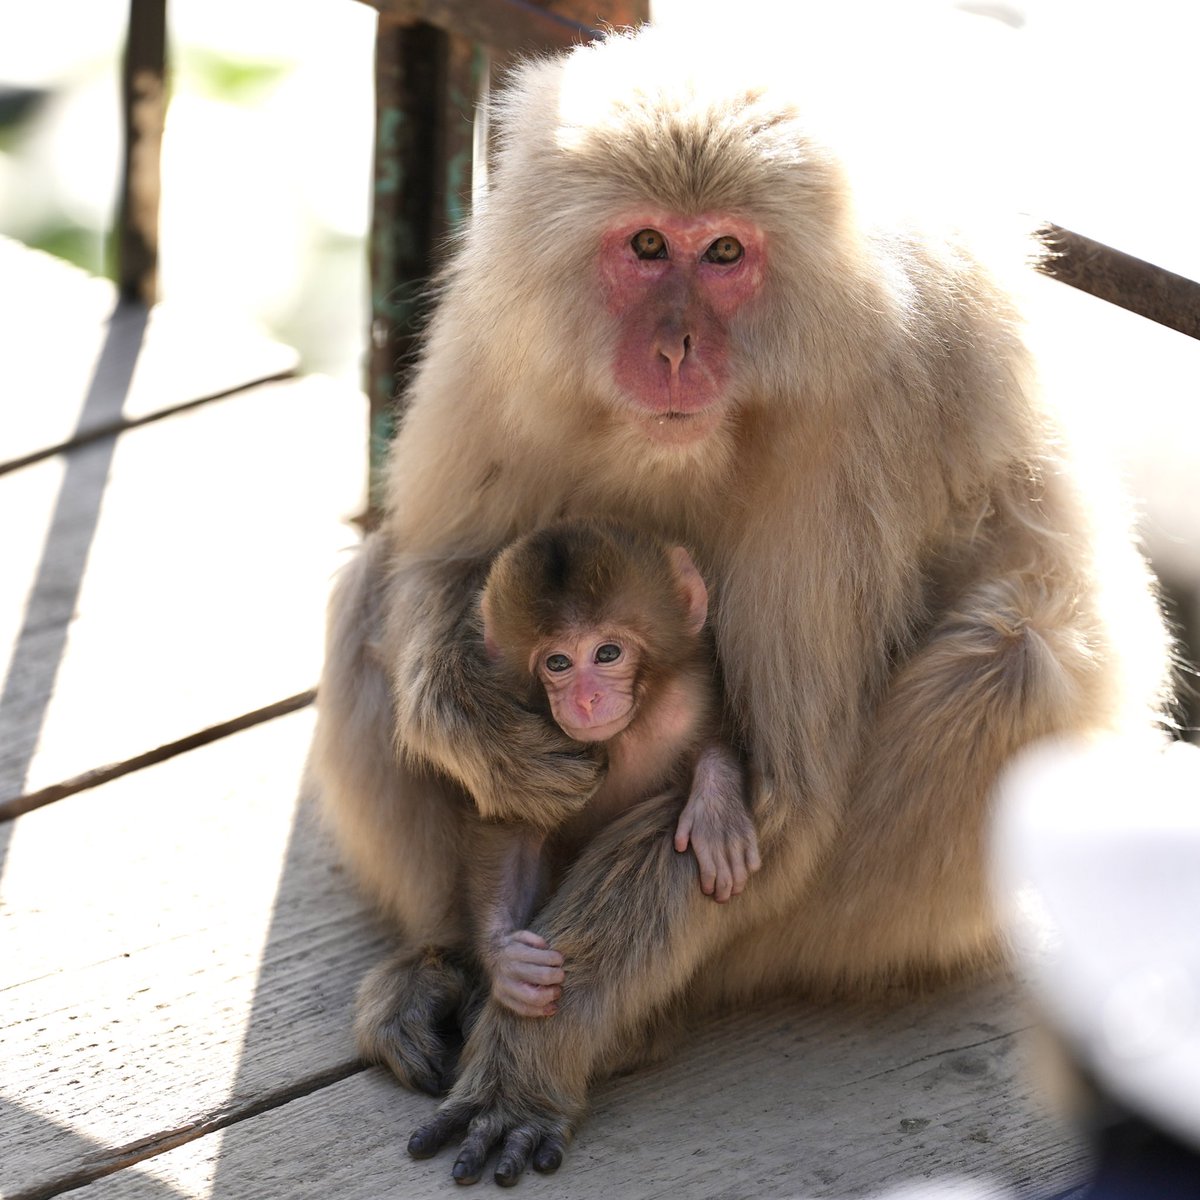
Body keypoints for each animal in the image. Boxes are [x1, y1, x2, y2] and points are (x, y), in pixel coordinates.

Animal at [474, 519, 761, 1019]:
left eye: (607, 654)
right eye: (557, 663)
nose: (585, 699)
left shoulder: (689, 696)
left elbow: (718, 737)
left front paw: (716, 808)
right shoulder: (532, 761)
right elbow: (517, 828)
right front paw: (504, 958)